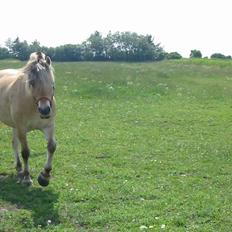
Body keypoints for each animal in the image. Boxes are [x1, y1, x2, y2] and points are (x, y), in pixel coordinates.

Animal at [0, 51, 56, 186]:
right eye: (31, 83)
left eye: (52, 84)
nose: (45, 110)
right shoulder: (22, 128)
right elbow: (25, 152)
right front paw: (26, 177)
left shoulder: (49, 126)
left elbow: (51, 146)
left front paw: (45, 176)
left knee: (14, 143)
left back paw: (19, 168)